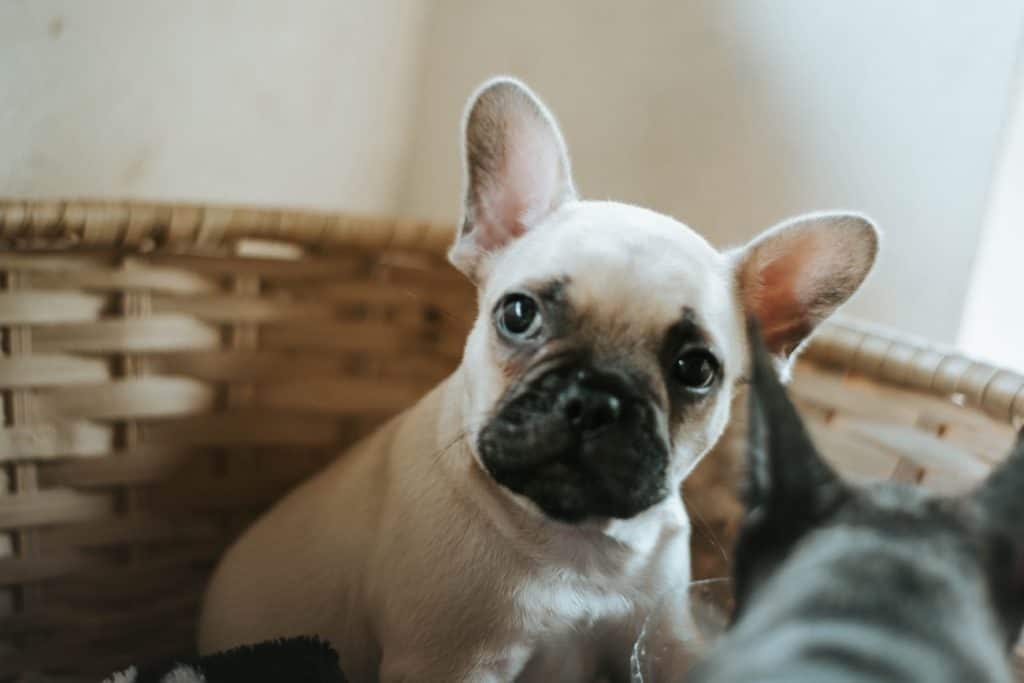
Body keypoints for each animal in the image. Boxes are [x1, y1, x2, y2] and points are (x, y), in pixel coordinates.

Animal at [199, 77, 880, 679]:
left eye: (696, 368)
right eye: (518, 314)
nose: (596, 400)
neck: (576, 545)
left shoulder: (664, 633)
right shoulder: (451, 664)